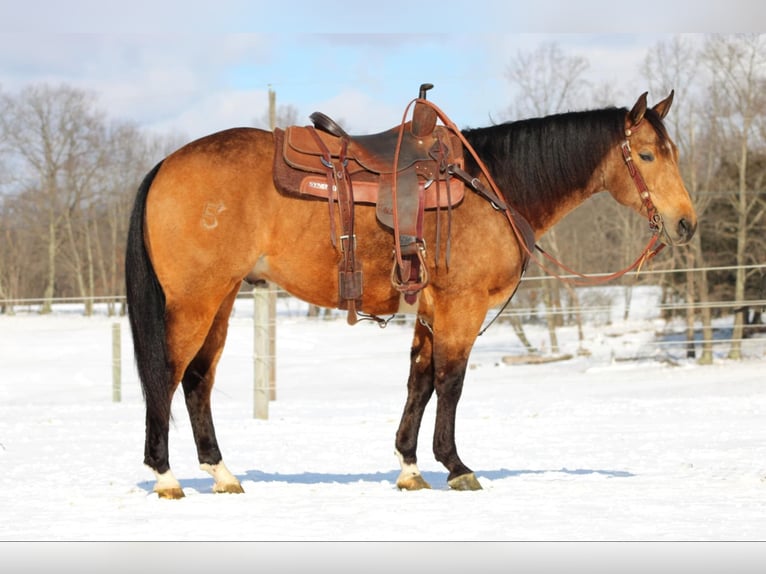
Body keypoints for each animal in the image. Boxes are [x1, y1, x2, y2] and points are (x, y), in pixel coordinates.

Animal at [127, 89, 704, 500]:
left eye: (673, 152)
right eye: (646, 155)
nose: (686, 224)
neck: (492, 188)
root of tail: (165, 165)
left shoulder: (430, 311)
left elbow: (419, 383)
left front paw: (409, 467)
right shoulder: (460, 308)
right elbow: (450, 384)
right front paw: (456, 466)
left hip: (222, 299)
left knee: (197, 381)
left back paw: (222, 474)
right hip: (195, 301)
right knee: (166, 377)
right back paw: (166, 477)